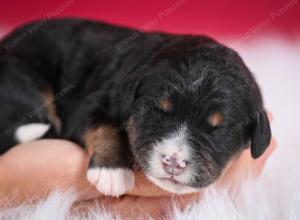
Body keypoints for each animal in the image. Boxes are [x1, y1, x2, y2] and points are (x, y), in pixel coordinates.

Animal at [0, 18, 272, 196]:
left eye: (218, 130)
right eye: (157, 112)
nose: (173, 162)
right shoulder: (88, 104)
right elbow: (105, 127)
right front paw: (112, 172)